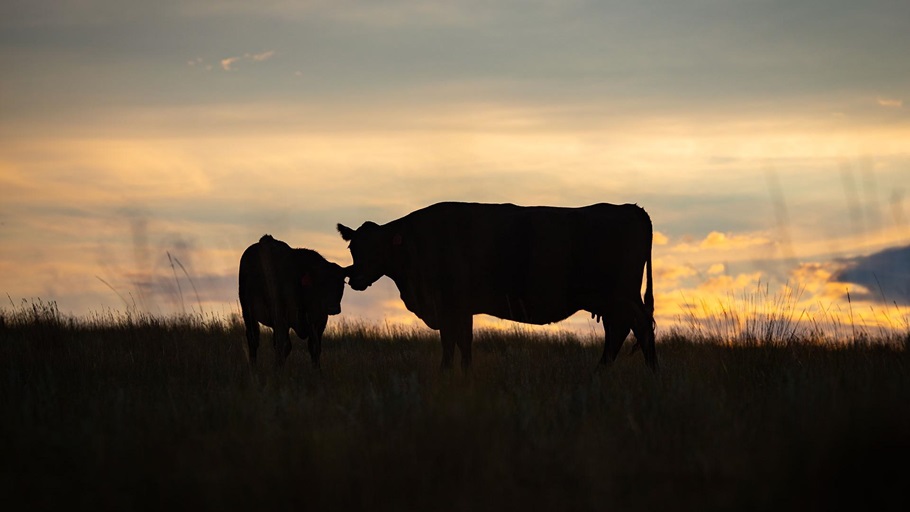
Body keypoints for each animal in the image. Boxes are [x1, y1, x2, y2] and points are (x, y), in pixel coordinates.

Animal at [238, 234, 346, 368]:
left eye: (342, 283)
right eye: (321, 282)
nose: (333, 308)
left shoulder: (320, 320)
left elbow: (315, 347)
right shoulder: (281, 317)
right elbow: (284, 346)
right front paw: (278, 370)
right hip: (247, 311)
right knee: (253, 338)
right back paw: (253, 367)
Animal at [337, 202, 657, 371]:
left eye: (377, 248)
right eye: (353, 247)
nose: (355, 279)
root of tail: (632, 209)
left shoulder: (451, 305)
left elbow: (452, 344)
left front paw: (446, 375)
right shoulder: (461, 309)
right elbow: (462, 344)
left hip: (622, 297)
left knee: (639, 328)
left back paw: (652, 373)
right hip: (611, 301)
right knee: (618, 332)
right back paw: (601, 371)